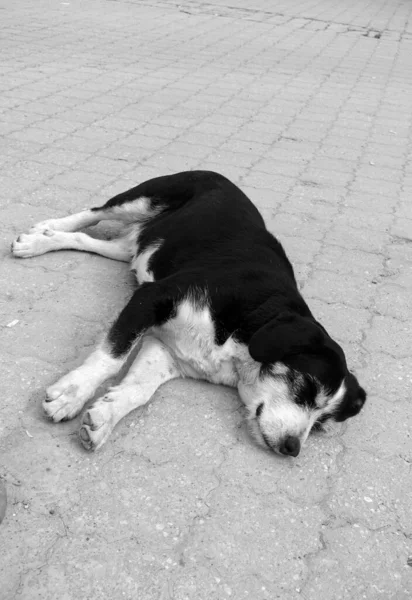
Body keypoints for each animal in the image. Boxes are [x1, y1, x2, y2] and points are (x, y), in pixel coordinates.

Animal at [11, 170, 366, 454]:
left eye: (320, 424)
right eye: (306, 388)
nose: (292, 449)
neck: (244, 333)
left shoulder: (165, 350)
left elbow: (139, 390)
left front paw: (105, 417)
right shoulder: (152, 297)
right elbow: (111, 357)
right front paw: (72, 393)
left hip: (135, 248)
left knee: (87, 240)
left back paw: (42, 240)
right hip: (143, 199)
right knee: (93, 213)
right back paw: (44, 228)